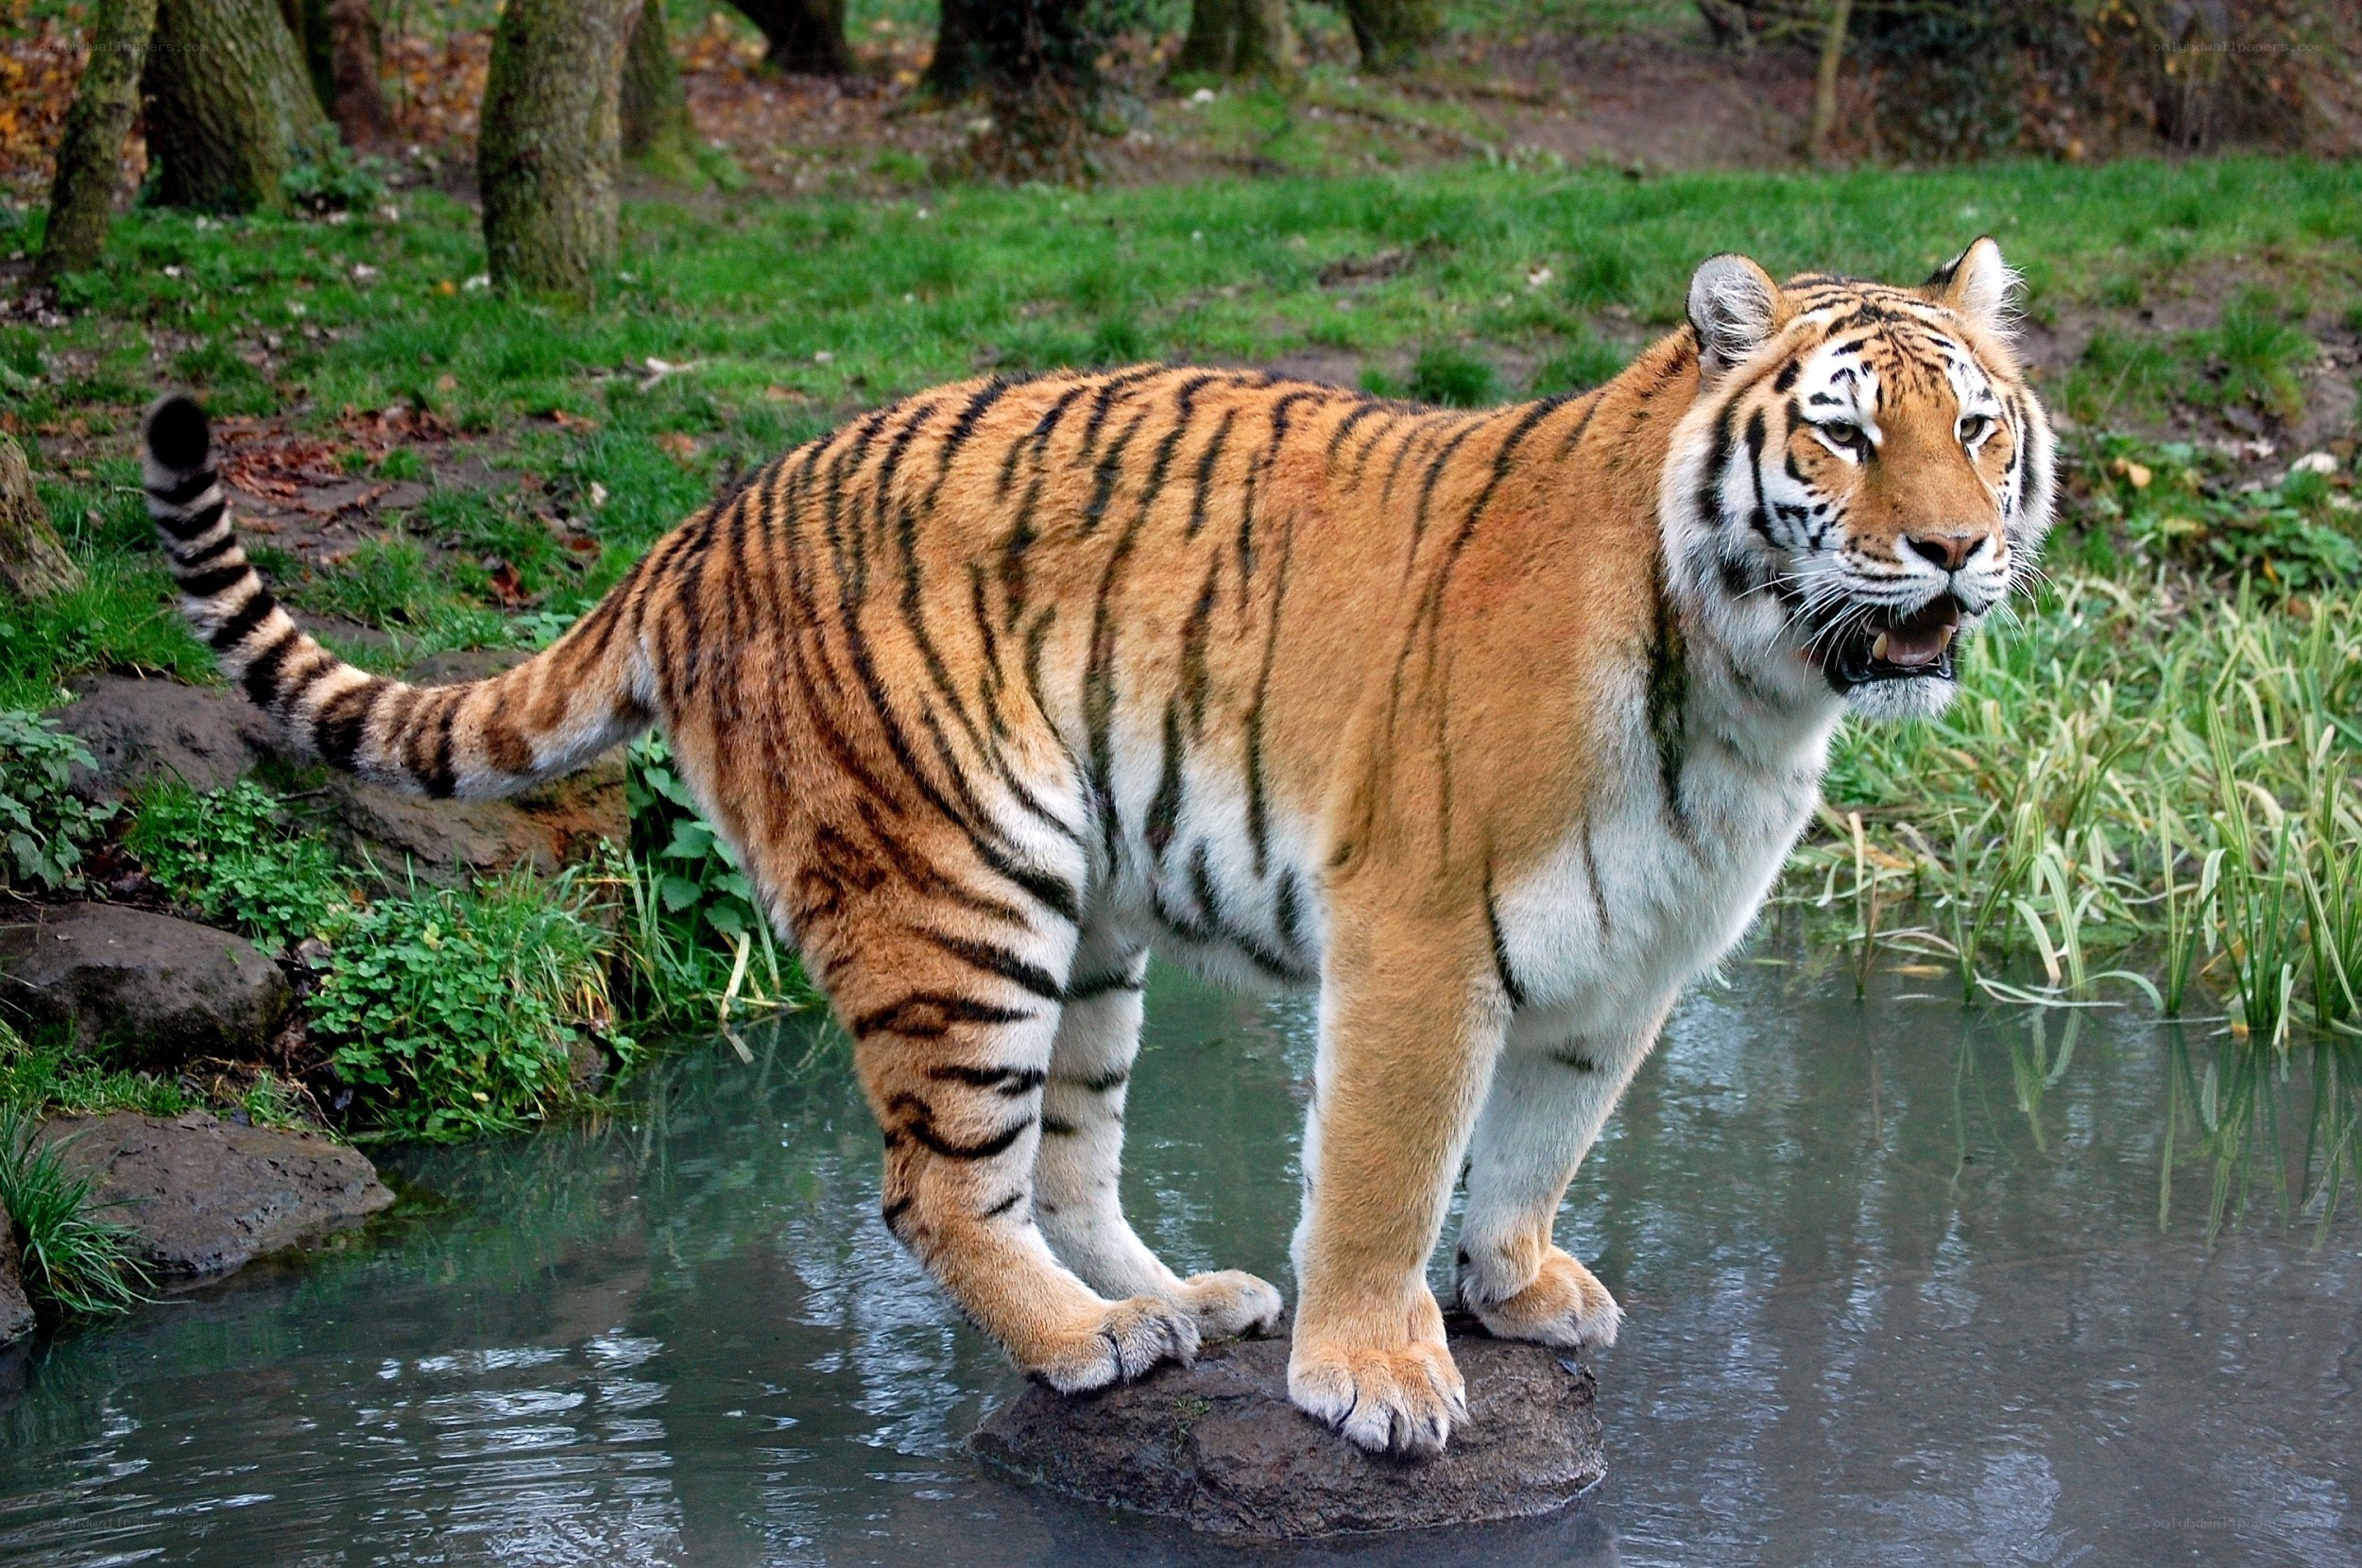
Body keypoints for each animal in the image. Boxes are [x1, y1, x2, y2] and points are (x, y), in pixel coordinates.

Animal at [141, 237, 2052, 1456]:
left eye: (1975, 426)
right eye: (1842, 432)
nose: (1956, 551)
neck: (1750, 690)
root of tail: (704, 517)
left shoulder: (1633, 959)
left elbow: (1537, 1148)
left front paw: (1514, 1291)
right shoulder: (1421, 934)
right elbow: (1390, 1166)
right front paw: (1380, 1375)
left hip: (1090, 920)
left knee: (1059, 1162)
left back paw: (1184, 1303)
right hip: (955, 894)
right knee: (933, 1186)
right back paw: (1087, 1344)